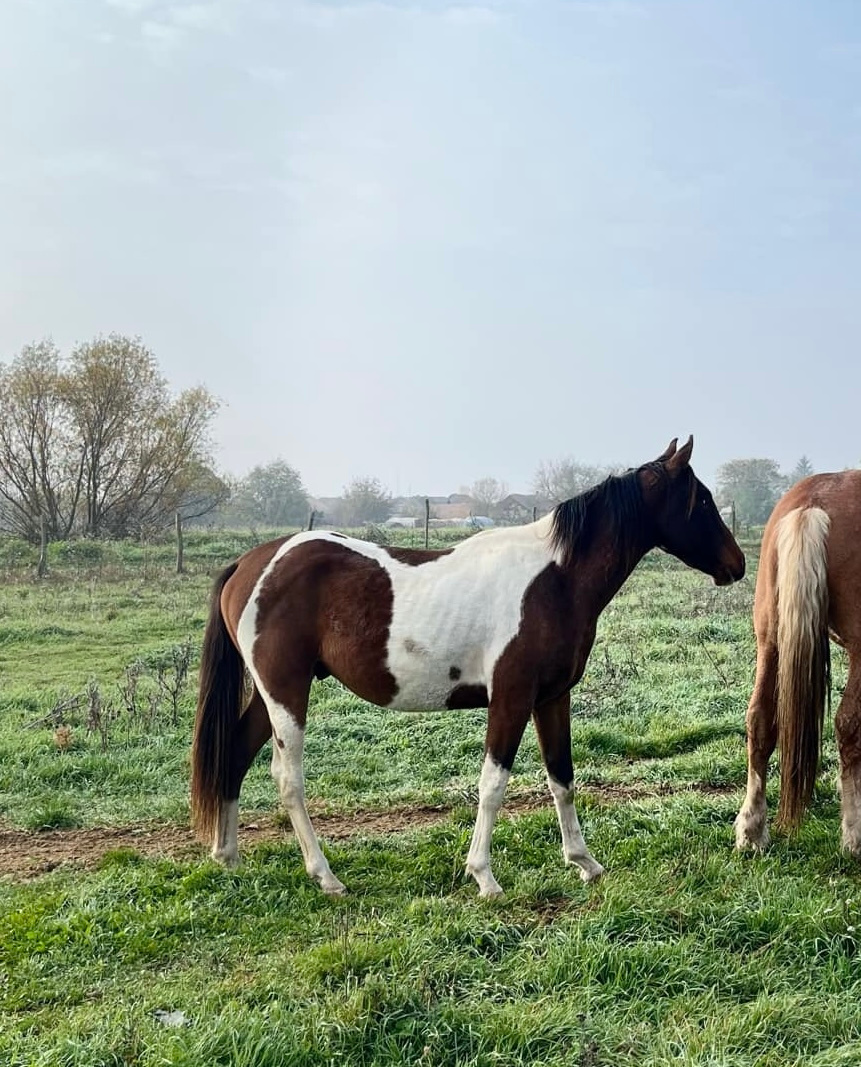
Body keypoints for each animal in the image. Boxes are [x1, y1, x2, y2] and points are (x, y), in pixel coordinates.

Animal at [192, 437, 742, 896]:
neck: (555, 578)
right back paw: (325, 876)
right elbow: (493, 785)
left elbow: (561, 777)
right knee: (288, 779)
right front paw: (484, 876)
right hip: (286, 693)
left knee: (234, 755)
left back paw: (228, 856)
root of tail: (249, 564)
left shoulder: (551, 697)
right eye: (703, 501)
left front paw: (584, 863)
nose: (736, 564)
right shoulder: (512, 699)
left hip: (271, 695)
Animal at [734, 471, 861, 853]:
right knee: (848, 725)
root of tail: (812, 504)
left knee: (759, 719)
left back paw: (752, 830)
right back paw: (854, 836)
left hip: (770, 638)